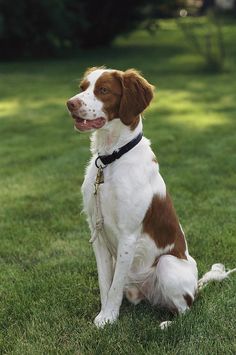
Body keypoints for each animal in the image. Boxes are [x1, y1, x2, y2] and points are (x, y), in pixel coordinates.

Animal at [66, 67, 234, 328]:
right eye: (83, 87)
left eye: (103, 90)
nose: (70, 103)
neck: (111, 160)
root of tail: (196, 287)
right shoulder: (98, 233)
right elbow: (106, 284)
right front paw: (104, 315)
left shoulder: (128, 235)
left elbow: (114, 287)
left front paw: (109, 318)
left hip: (167, 264)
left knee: (185, 309)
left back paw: (168, 324)